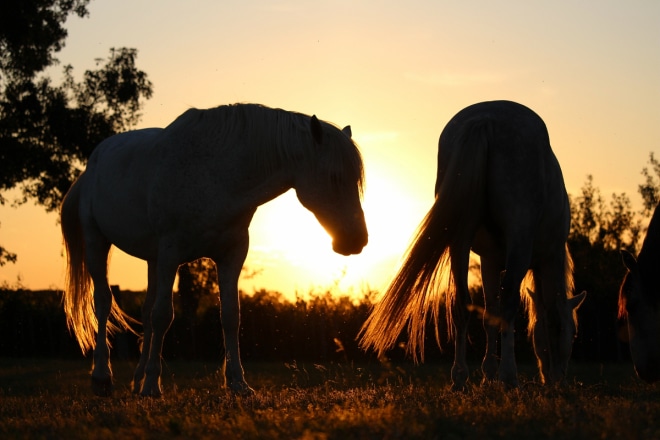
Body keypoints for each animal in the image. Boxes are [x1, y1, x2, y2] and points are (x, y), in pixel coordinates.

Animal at [61, 103, 368, 397]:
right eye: (334, 177)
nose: (357, 240)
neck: (217, 175)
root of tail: (92, 164)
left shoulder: (231, 255)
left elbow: (230, 316)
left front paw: (238, 384)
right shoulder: (171, 254)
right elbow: (163, 316)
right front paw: (152, 386)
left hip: (152, 260)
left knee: (146, 313)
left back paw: (136, 379)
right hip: (97, 243)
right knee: (103, 304)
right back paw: (103, 378)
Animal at [360, 100, 586, 390]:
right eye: (574, 333)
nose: (556, 379)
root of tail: (486, 118)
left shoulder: (489, 260)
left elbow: (490, 312)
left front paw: (488, 372)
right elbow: (514, 311)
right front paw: (499, 373)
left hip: (460, 240)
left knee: (461, 304)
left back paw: (460, 376)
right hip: (518, 239)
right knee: (508, 303)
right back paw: (509, 376)